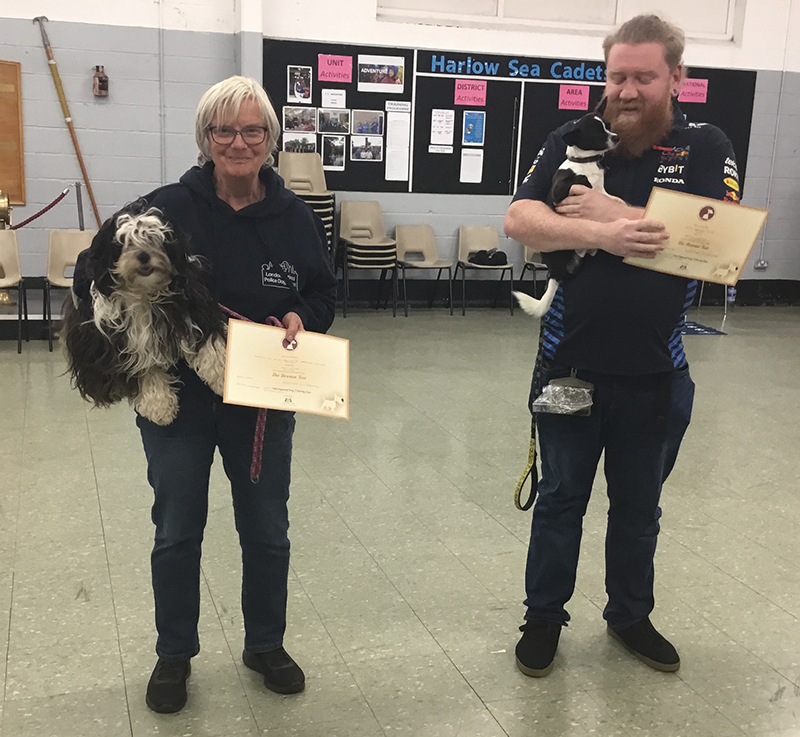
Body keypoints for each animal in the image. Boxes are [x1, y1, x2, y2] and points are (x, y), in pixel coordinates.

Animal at [61, 201, 227, 426]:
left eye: (154, 238)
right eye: (124, 242)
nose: (143, 256)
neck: (145, 293)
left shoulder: (195, 306)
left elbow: (210, 344)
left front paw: (223, 378)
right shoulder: (123, 342)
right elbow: (145, 369)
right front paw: (160, 406)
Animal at [514, 113, 619, 317]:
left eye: (608, 126)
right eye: (597, 132)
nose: (617, 137)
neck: (584, 161)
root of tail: (555, 273)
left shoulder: (603, 192)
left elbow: (613, 199)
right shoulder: (560, 190)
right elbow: (581, 180)